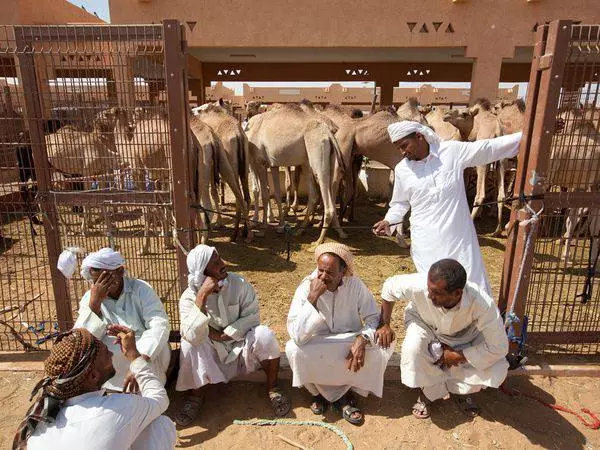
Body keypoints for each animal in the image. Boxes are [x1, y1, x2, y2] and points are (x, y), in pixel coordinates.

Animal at [245, 103, 346, 246]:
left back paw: (318, 241)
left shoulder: (259, 162)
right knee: (317, 194)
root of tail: (329, 134)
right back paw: (303, 230)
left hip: (317, 157)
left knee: (327, 199)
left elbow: (264, 194)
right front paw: (281, 227)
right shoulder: (273, 164)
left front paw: (263, 229)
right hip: (317, 162)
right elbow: (276, 193)